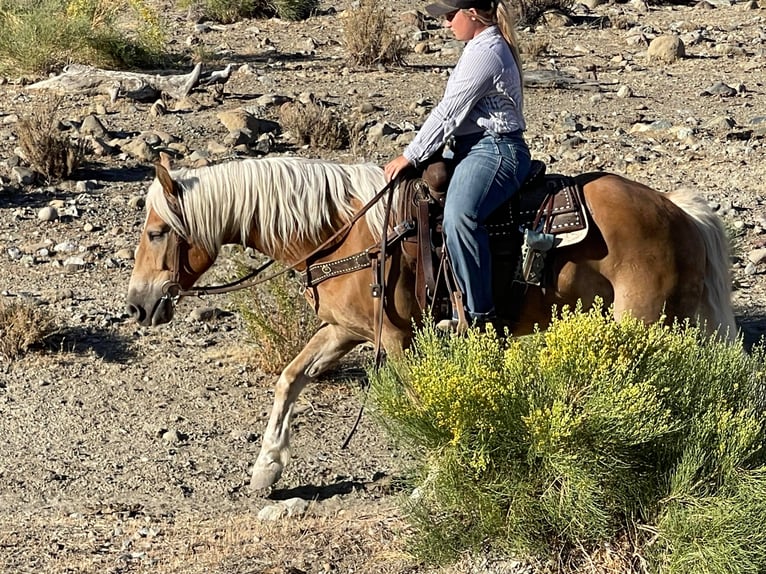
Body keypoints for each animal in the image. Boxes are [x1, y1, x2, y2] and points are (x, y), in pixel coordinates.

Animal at [124, 154, 736, 490]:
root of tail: (679, 212)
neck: (346, 231)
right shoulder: (344, 330)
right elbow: (290, 378)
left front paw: (436, 481)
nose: (136, 305)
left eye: (155, 232)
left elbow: (424, 404)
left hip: (645, 323)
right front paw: (266, 469)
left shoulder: (397, 338)